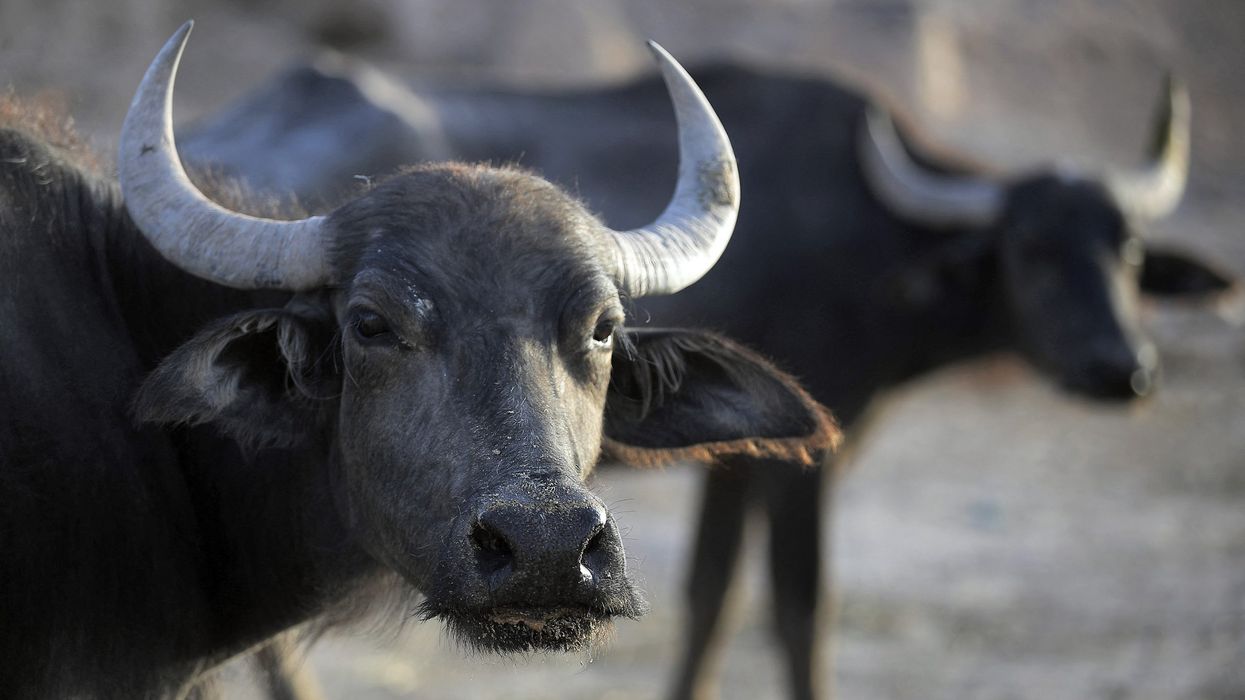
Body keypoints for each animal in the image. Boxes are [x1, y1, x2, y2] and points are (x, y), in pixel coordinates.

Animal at [184, 60, 1234, 699]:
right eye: (1029, 249)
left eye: (1124, 249)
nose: (1122, 370)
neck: (861, 233)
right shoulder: (802, 462)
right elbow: (799, 607)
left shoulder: (737, 461)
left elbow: (711, 597)